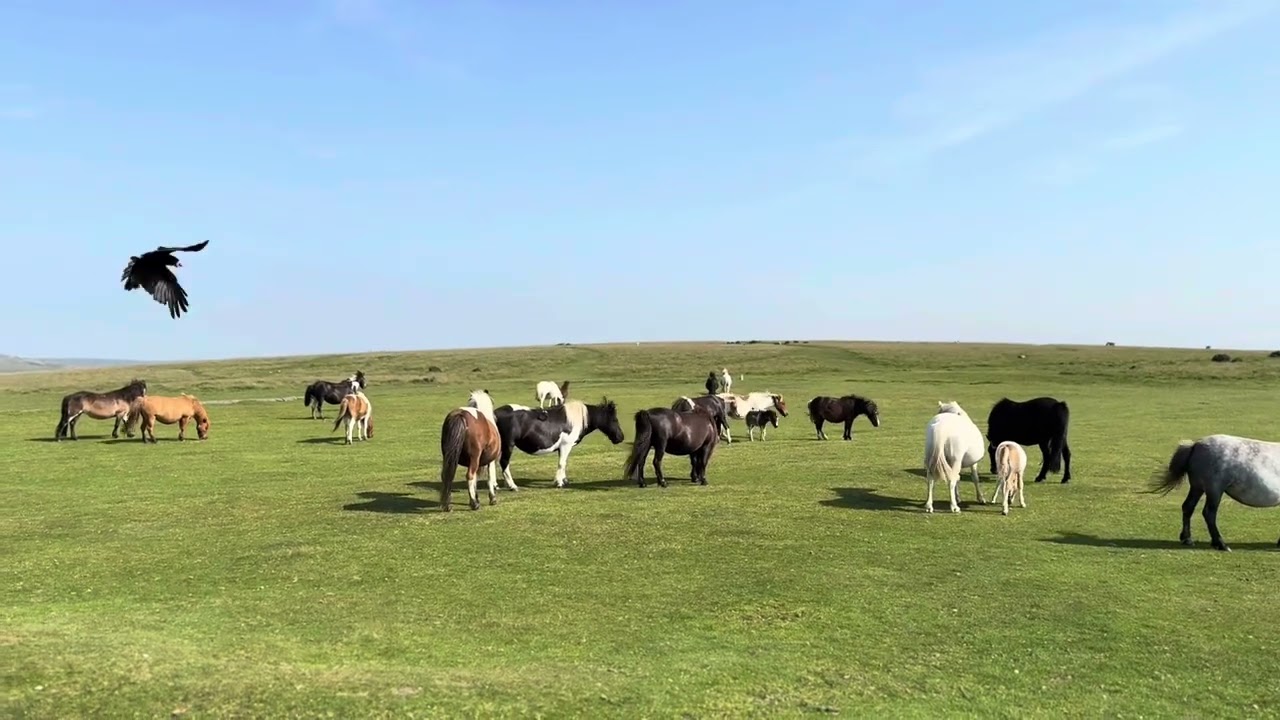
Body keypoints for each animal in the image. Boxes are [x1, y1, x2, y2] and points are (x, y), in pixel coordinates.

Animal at [494, 397, 625, 489]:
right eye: (615, 419)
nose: (621, 437)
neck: (574, 419)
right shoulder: (566, 446)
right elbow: (562, 463)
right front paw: (559, 483)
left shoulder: (562, 448)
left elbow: (564, 463)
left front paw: (564, 480)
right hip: (508, 445)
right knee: (504, 462)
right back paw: (512, 485)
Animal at [1149, 434, 1280, 552]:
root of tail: (1196, 445)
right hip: (1214, 490)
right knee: (1209, 513)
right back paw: (1220, 544)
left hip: (1197, 487)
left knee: (1188, 507)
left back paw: (1187, 539)